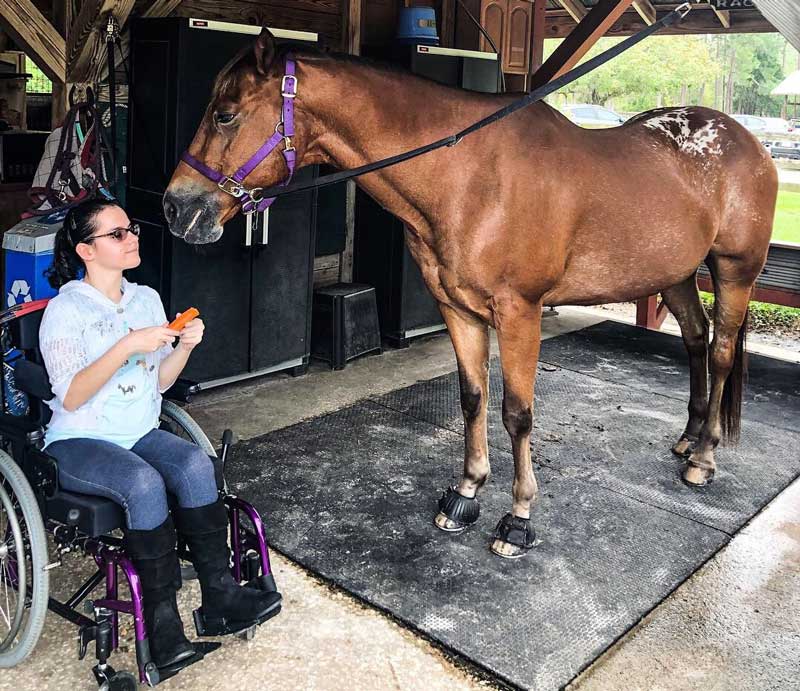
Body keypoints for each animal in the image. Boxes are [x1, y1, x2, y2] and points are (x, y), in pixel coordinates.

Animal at [166, 32, 780, 560]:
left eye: (225, 114)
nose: (176, 206)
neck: (469, 175)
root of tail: (747, 141)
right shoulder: (457, 309)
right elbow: (472, 398)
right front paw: (466, 494)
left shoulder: (520, 314)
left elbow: (517, 414)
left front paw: (519, 518)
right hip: (673, 275)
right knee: (696, 341)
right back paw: (688, 437)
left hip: (735, 273)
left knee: (721, 352)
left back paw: (704, 457)